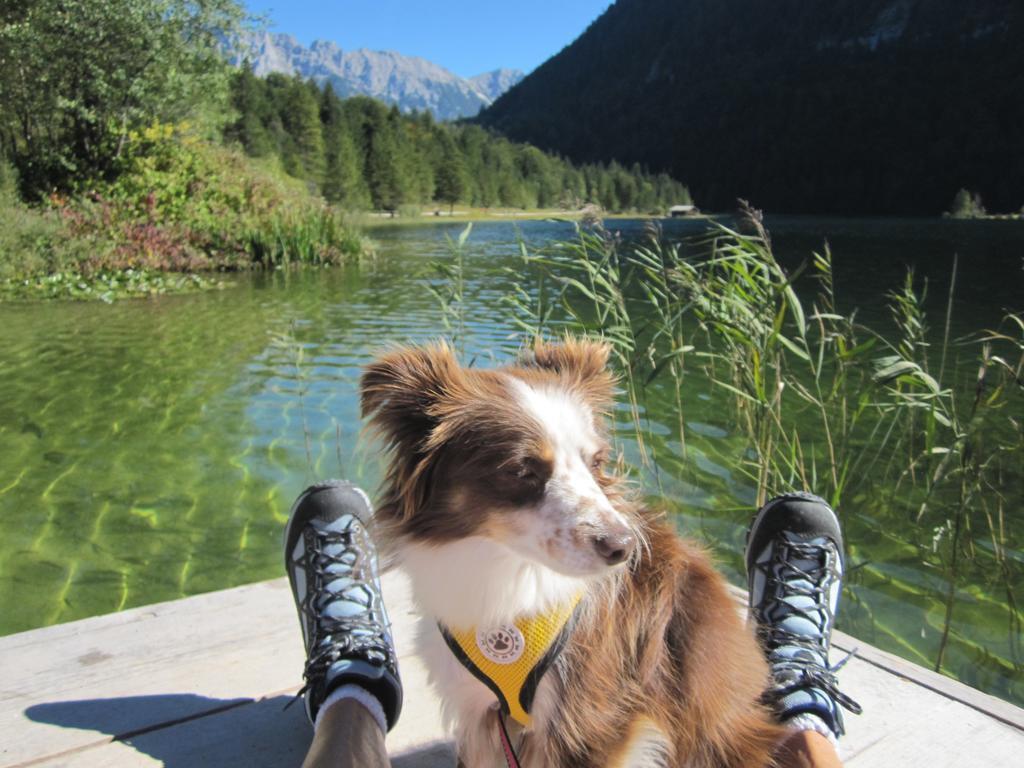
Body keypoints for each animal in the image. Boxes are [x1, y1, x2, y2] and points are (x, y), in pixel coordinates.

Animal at [362, 339, 782, 765]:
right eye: (522, 470)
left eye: (595, 462)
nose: (623, 547)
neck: (511, 570)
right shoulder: (480, 710)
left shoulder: (591, 716)